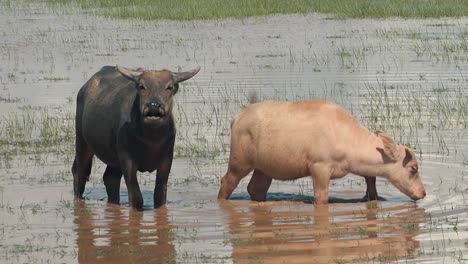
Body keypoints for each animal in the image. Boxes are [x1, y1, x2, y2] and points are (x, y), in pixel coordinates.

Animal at [72, 65, 200, 210]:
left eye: (169, 86)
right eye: (142, 86)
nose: (154, 106)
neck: (152, 139)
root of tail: (85, 88)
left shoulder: (166, 161)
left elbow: (160, 194)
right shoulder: (127, 160)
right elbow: (137, 197)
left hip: (114, 159)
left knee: (110, 178)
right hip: (82, 142)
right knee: (80, 173)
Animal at [218, 99, 426, 204]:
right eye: (413, 168)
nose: (423, 193)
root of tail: (236, 119)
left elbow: (371, 180)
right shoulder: (319, 167)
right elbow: (321, 197)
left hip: (264, 168)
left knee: (256, 188)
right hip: (239, 162)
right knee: (226, 183)